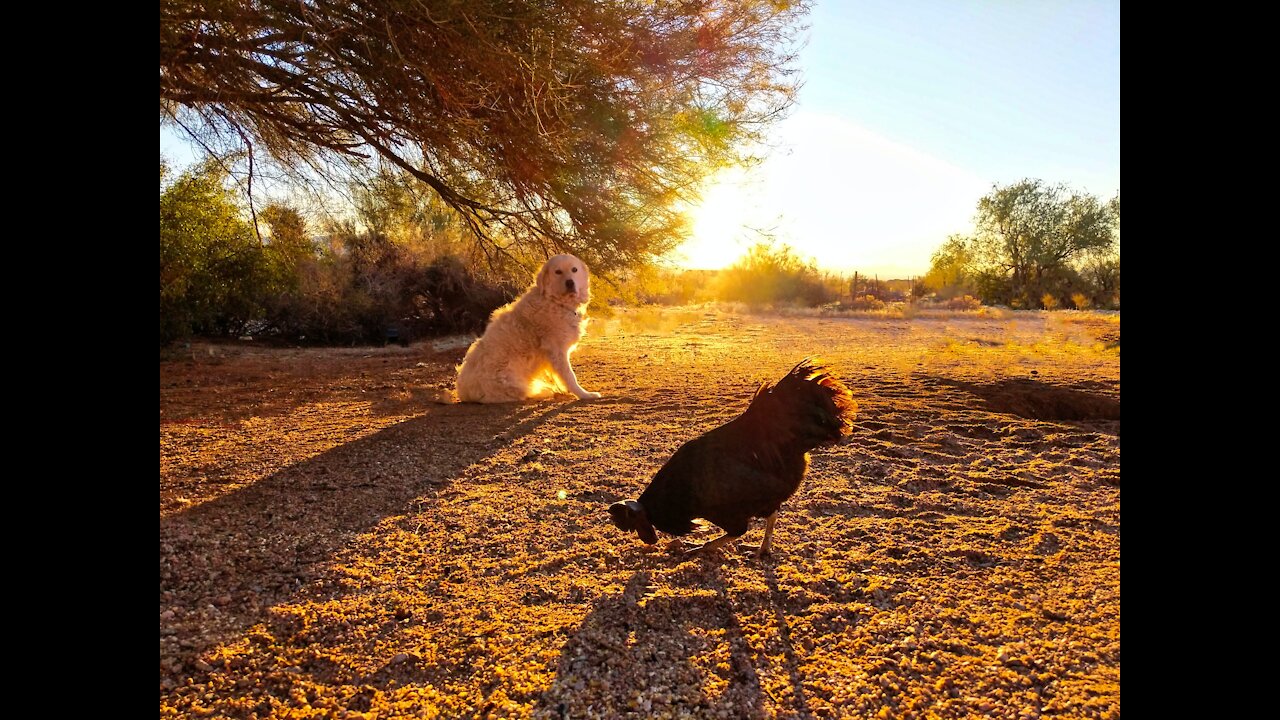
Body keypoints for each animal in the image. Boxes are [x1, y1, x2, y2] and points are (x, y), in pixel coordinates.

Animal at [458, 252, 601, 399]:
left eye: (574, 269)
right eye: (558, 272)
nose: (570, 282)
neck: (556, 302)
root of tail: (463, 392)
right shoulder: (557, 350)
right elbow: (570, 376)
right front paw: (584, 394)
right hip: (508, 379)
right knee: (523, 392)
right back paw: (544, 391)